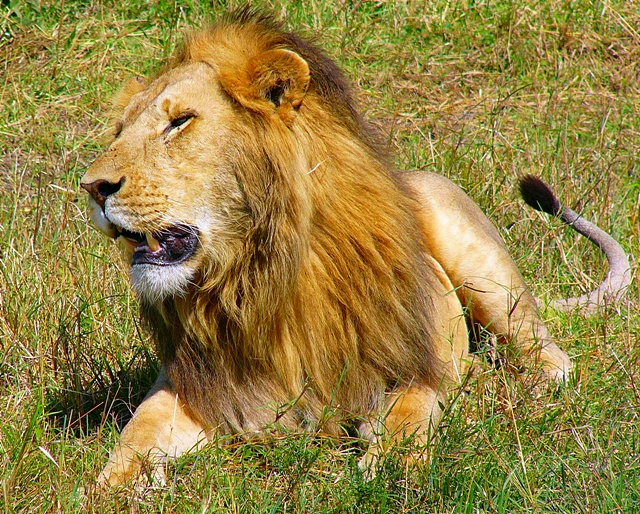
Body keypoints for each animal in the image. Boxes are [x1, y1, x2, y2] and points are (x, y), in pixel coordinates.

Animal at [80, 10, 632, 486]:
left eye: (180, 122)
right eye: (120, 131)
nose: (92, 187)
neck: (258, 280)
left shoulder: (405, 363)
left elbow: (412, 412)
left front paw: (389, 466)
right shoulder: (198, 387)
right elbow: (138, 431)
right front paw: (112, 486)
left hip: (476, 258)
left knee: (549, 359)